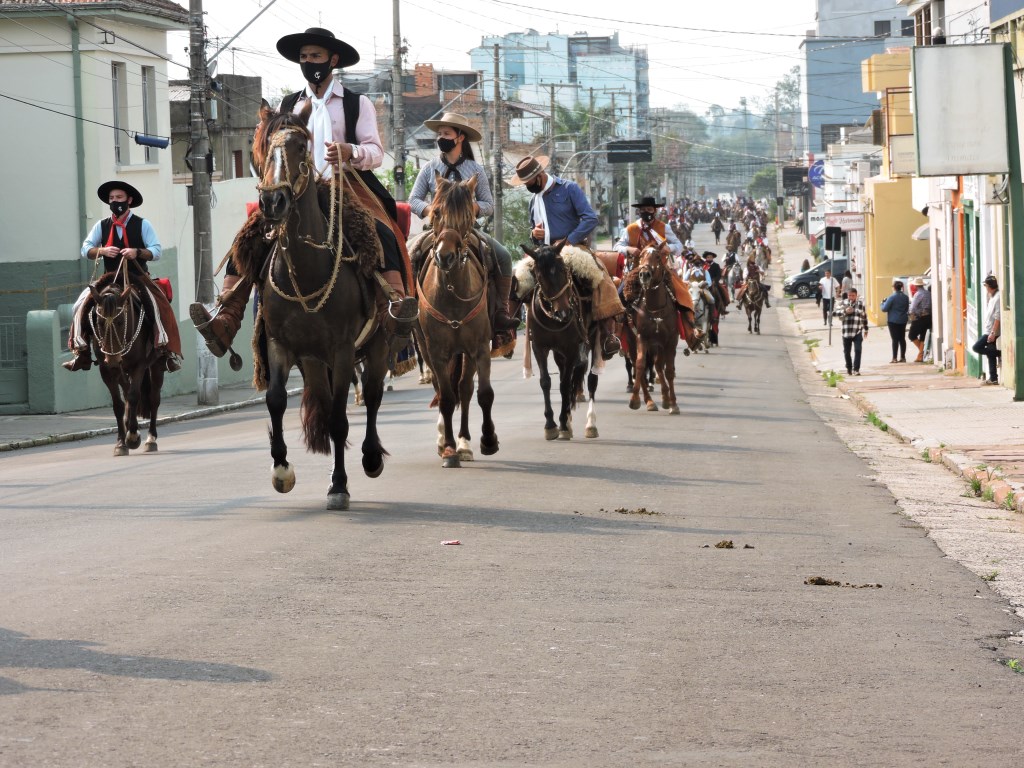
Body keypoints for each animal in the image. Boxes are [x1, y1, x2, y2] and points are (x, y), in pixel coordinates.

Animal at [88, 268, 165, 456]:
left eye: (120, 321)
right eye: (99, 322)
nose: (113, 360)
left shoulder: (139, 365)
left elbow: (134, 395)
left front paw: (132, 437)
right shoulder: (106, 370)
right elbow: (118, 404)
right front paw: (121, 443)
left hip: (156, 365)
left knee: (153, 398)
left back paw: (150, 439)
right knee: (127, 393)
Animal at [251, 103, 387, 512]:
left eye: (300, 145)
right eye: (263, 145)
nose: (272, 202)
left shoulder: (342, 351)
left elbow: (341, 419)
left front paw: (339, 486)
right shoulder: (280, 345)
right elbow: (276, 400)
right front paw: (281, 470)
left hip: (378, 344)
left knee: (372, 396)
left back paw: (371, 457)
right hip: (313, 362)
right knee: (327, 407)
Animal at [413, 174, 497, 468]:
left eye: (467, 216)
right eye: (437, 212)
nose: (445, 256)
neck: (451, 291)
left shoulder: (480, 348)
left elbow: (483, 393)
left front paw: (487, 440)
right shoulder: (436, 352)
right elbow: (447, 399)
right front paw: (448, 449)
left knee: (465, 388)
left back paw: (465, 443)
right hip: (426, 349)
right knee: (443, 390)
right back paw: (445, 441)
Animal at [520, 243, 598, 442]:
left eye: (563, 269)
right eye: (539, 275)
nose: (564, 313)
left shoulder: (571, 349)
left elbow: (564, 385)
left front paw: (562, 423)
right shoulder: (540, 347)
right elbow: (546, 381)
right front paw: (551, 425)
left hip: (594, 339)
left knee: (592, 380)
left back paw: (590, 424)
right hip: (558, 353)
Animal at [622, 246, 679, 415]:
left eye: (658, 257)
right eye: (641, 255)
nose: (644, 274)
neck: (655, 309)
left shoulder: (670, 340)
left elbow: (669, 370)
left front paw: (673, 403)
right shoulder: (642, 338)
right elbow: (640, 365)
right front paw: (635, 400)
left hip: (658, 344)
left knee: (659, 365)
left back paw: (665, 398)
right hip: (633, 340)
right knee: (638, 364)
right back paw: (649, 401)